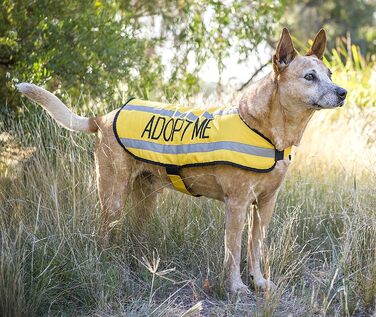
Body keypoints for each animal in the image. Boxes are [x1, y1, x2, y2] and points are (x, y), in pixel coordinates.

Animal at [17, 29, 346, 294]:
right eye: (309, 77)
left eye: (330, 73)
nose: (343, 92)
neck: (267, 133)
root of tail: (103, 117)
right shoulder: (237, 204)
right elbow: (234, 249)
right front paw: (236, 287)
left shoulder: (265, 205)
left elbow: (255, 248)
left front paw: (259, 282)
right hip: (112, 197)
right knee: (102, 234)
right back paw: (102, 264)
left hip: (146, 198)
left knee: (134, 234)